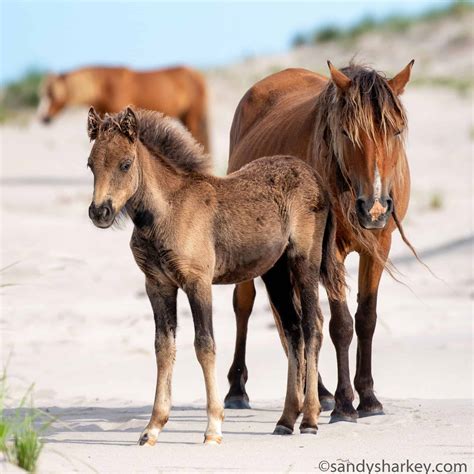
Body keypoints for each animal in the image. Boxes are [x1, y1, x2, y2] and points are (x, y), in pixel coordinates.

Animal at [86, 104, 344, 444]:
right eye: (90, 164)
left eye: (125, 164)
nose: (99, 212)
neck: (165, 212)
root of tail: (316, 178)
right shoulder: (157, 285)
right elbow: (163, 348)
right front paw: (152, 428)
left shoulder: (198, 282)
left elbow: (205, 345)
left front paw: (213, 428)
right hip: (274, 272)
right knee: (292, 331)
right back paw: (286, 420)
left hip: (305, 262)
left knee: (311, 326)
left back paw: (311, 418)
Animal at [226, 60, 414, 422]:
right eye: (346, 133)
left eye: (396, 132)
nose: (374, 208)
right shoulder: (332, 253)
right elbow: (341, 324)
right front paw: (344, 403)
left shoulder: (379, 247)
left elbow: (366, 319)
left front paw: (368, 398)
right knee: (246, 304)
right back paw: (238, 390)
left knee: (300, 318)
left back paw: (317, 392)